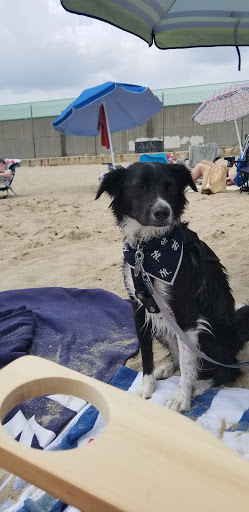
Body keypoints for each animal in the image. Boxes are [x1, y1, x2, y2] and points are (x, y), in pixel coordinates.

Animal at [96, 164, 249, 412]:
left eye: (170, 187)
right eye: (139, 186)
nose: (162, 212)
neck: (146, 249)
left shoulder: (186, 315)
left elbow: (188, 365)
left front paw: (182, 397)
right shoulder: (139, 309)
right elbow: (147, 354)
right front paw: (146, 386)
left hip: (211, 336)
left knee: (226, 370)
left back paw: (201, 384)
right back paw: (167, 368)